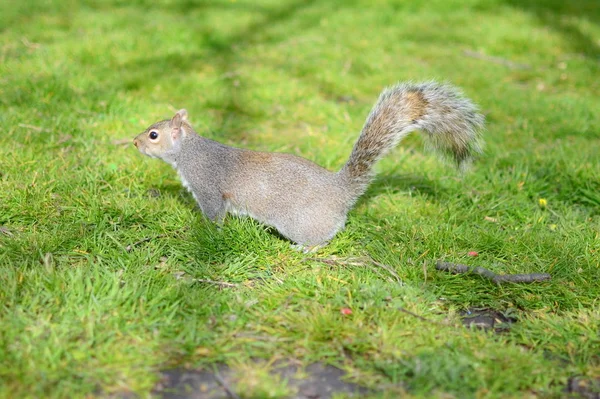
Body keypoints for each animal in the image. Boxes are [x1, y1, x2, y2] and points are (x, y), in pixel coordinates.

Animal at [135, 82, 482, 247]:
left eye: (154, 135)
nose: (135, 142)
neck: (190, 152)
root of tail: (340, 191)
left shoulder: (208, 188)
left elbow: (214, 216)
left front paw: (206, 234)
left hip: (299, 223)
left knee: (324, 238)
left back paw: (305, 249)